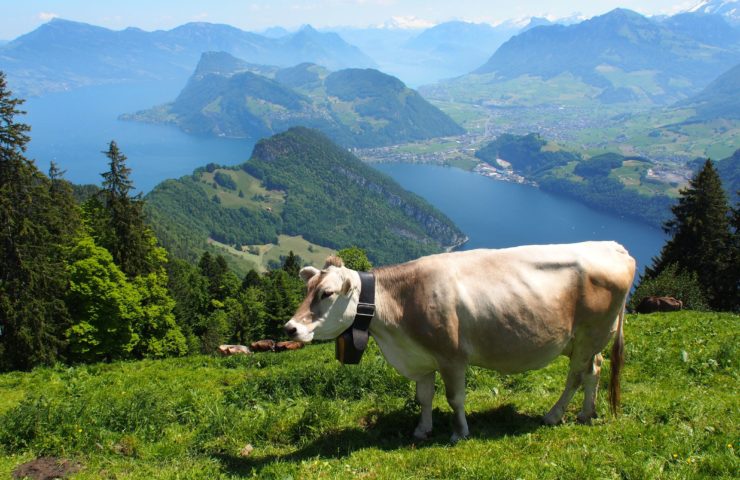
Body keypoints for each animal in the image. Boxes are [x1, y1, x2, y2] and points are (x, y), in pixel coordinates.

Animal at [284, 241, 636, 443]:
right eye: (306, 290)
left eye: (327, 293)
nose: (289, 328)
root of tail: (614, 246)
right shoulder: (421, 358)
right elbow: (423, 397)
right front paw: (422, 430)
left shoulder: (451, 357)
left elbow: (455, 398)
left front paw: (459, 432)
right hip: (582, 340)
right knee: (594, 370)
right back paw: (586, 414)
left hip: (591, 332)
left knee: (576, 376)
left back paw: (554, 415)